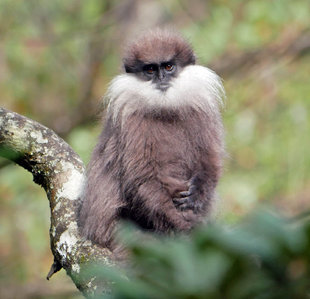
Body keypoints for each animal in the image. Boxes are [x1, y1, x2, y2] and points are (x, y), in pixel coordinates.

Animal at [79, 28, 225, 255]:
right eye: (149, 70)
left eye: (168, 66)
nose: (160, 78)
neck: (164, 110)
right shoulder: (132, 124)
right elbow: (142, 179)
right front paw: (184, 228)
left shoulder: (203, 113)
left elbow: (210, 161)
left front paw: (198, 194)